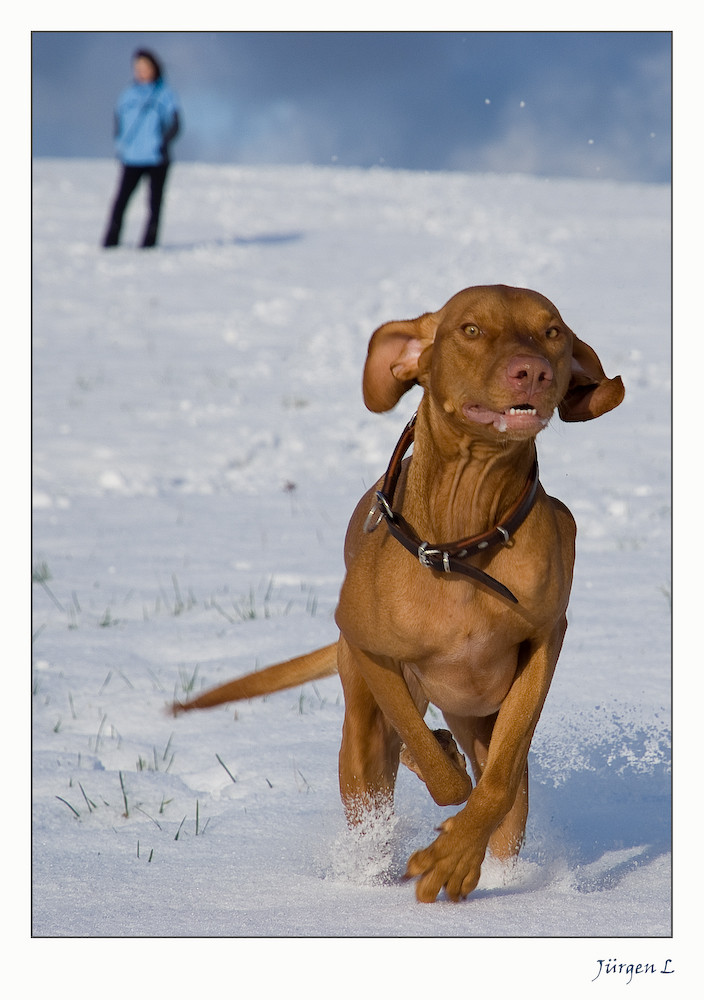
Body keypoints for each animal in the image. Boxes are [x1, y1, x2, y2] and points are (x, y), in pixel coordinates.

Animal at [173, 284, 624, 908]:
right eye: (470, 330)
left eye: (552, 331)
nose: (531, 370)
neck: (462, 537)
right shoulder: (370, 649)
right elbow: (430, 761)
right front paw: (440, 774)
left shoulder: (544, 640)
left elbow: (498, 781)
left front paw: (455, 855)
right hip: (359, 737)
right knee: (382, 768)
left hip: (480, 717)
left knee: (506, 793)